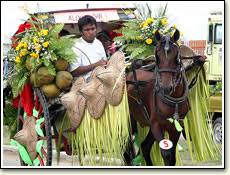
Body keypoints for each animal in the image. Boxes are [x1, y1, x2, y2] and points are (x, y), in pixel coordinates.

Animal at [125, 29, 204, 165]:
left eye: (177, 57)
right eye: (157, 56)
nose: (166, 88)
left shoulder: (176, 127)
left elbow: (172, 156)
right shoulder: (156, 125)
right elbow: (166, 154)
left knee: (145, 147)